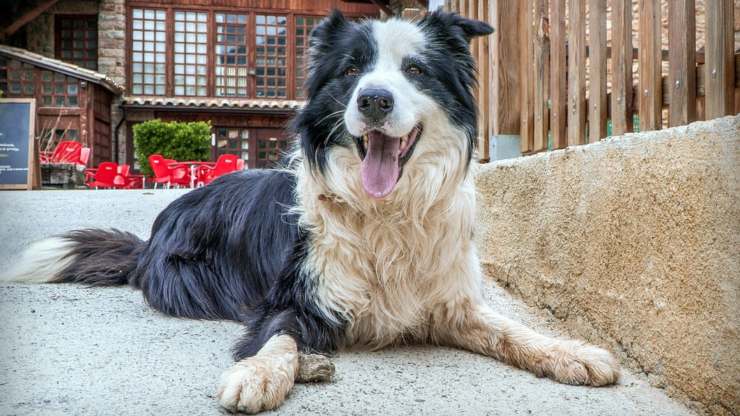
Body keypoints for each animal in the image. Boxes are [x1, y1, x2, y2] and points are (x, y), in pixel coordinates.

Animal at [5, 9, 620, 412]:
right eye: (350, 70)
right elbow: (279, 335)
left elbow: (509, 328)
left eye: (416, 70)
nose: (374, 99)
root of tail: (148, 238)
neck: (386, 213)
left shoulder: (449, 303)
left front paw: (572, 352)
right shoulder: (292, 296)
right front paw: (257, 372)